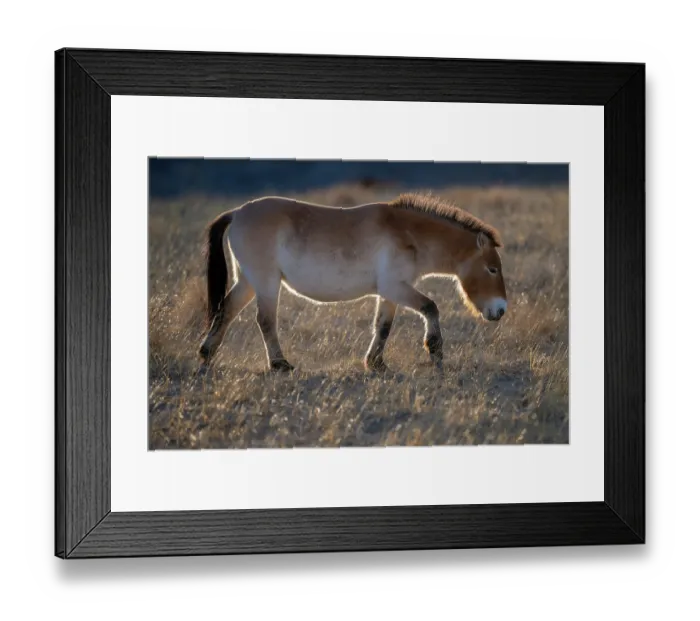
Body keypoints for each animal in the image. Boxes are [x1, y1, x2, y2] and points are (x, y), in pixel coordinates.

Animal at [198, 193, 507, 372]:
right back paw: (280, 364)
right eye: (492, 269)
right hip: (266, 283)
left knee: (226, 311)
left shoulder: (390, 292)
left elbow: (383, 326)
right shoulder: (396, 287)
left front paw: (376, 363)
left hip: (248, 282)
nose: (501, 310)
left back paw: (206, 354)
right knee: (264, 320)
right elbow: (430, 307)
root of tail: (237, 212)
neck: (409, 232)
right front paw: (435, 350)